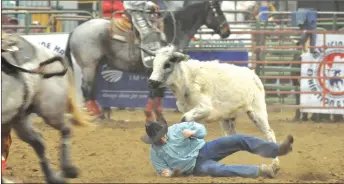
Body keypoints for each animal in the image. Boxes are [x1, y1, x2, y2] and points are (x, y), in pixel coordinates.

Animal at [2, 34, 90, 184]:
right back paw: (53, 177)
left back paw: (68, 169)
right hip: (18, 119)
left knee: (66, 128)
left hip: (50, 111)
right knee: (38, 142)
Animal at [64, 0, 231, 118]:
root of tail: (75, 30)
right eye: (217, 11)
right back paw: (97, 115)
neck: (172, 30)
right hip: (89, 66)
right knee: (86, 88)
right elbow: (157, 93)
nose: (227, 31)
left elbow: (156, 94)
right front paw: (154, 113)